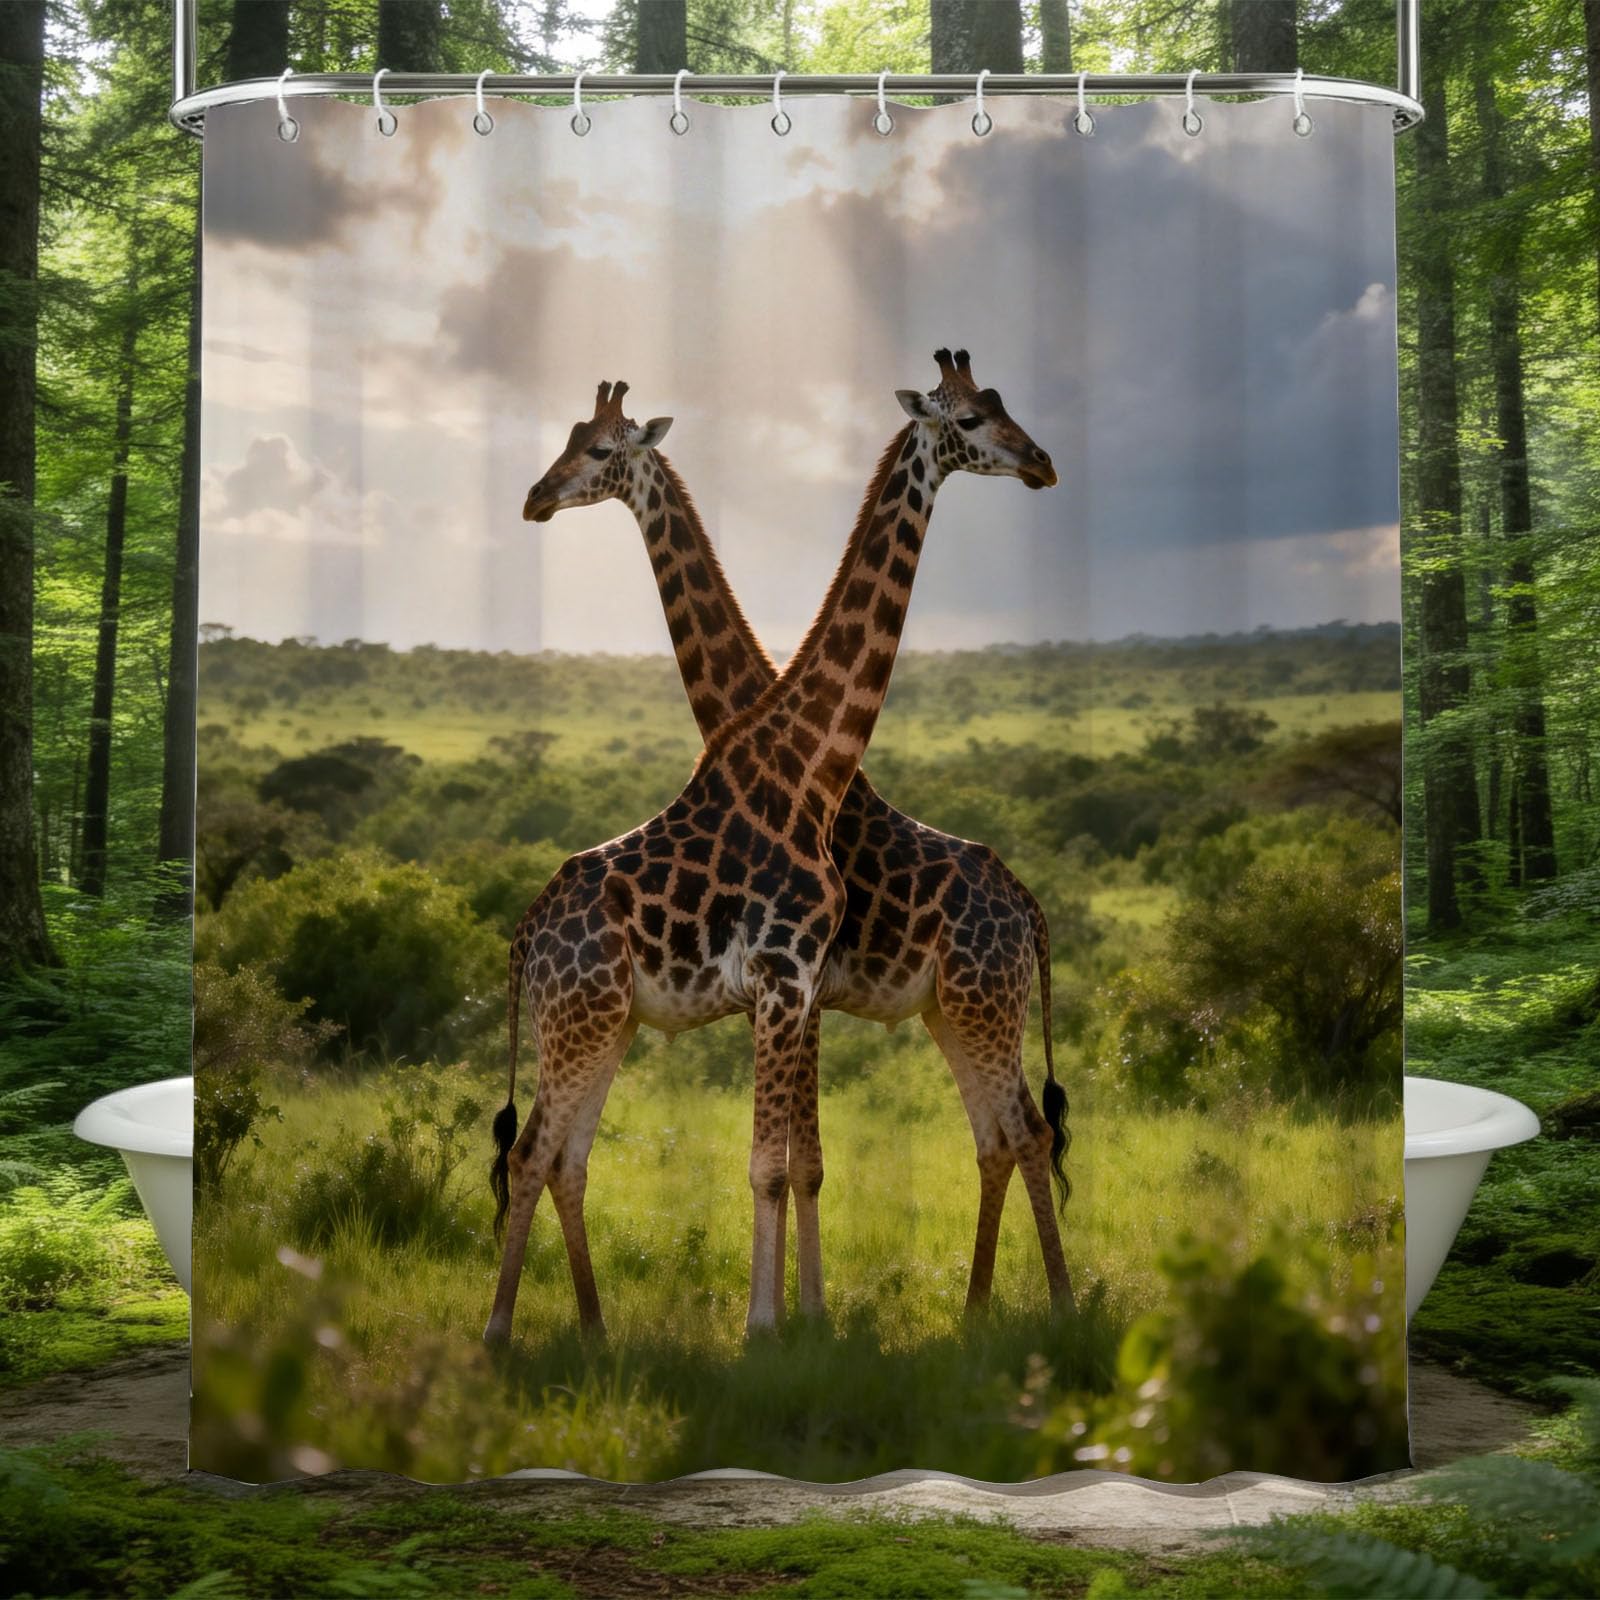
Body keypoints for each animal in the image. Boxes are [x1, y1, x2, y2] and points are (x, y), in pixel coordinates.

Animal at [486, 350, 1065, 1347]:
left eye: (595, 448)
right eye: (970, 422)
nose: (1042, 464)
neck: (805, 764)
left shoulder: (800, 987)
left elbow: (795, 1162)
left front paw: (802, 1319)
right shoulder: (787, 980)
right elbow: (781, 1163)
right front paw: (774, 1327)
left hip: (962, 1005)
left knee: (1013, 1132)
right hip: (603, 1018)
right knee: (539, 1155)